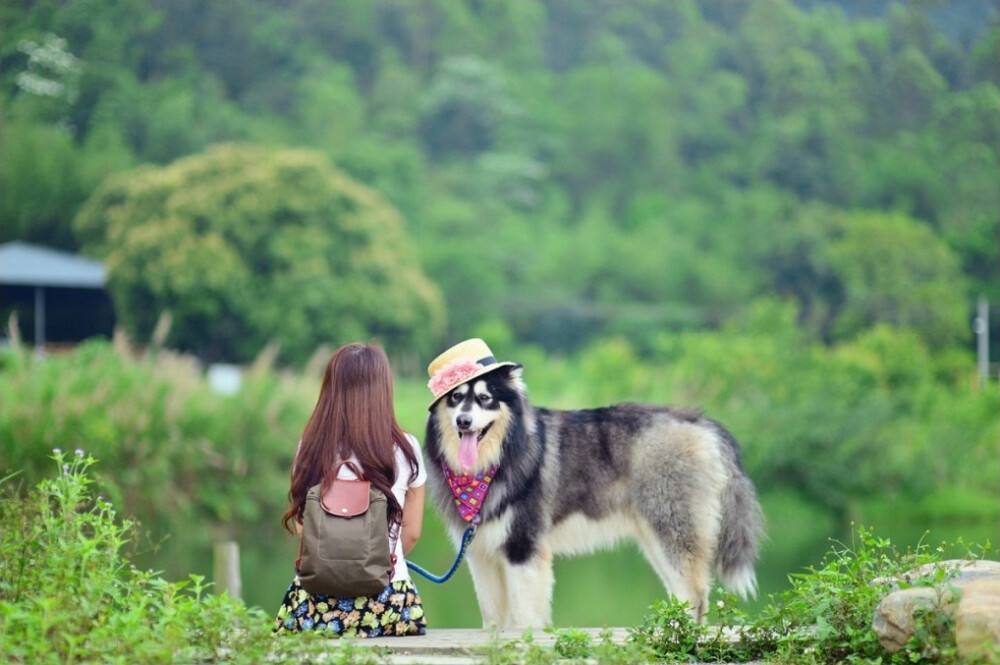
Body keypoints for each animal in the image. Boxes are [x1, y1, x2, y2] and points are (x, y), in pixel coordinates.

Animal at [424, 364, 764, 628]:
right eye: (455, 398)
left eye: (485, 399)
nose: (463, 421)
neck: (496, 461)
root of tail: (702, 422)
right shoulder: (481, 553)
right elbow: (493, 619)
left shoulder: (523, 548)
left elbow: (524, 617)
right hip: (656, 538)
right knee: (683, 593)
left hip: (674, 528)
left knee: (694, 593)